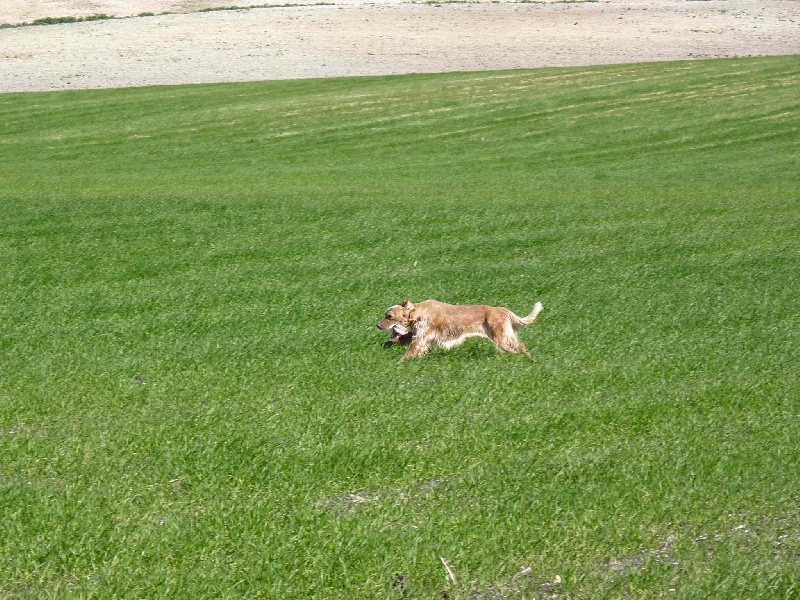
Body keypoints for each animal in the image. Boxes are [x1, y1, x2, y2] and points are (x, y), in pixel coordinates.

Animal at [376, 298, 544, 358]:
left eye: (389, 316)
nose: (377, 325)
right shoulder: (416, 336)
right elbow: (399, 339)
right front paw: (386, 344)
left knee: (518, 348)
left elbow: (407, 354)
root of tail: (502, 310)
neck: (416, 312)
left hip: (501, 339)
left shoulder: (420, 339)